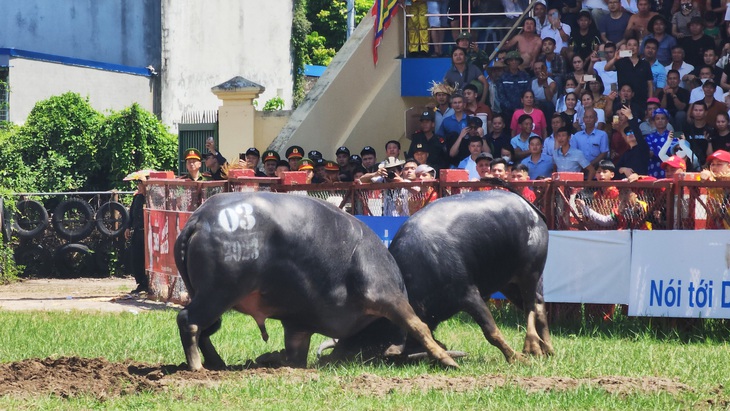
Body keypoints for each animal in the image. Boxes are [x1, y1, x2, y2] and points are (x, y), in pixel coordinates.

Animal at [173, 192, 456, 372]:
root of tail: (199, 218)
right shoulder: (384, 295)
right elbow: (417, 324)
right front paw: (447, 359)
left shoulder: (297, 325)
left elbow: (295, 355)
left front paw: (273, 358)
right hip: (219, 292)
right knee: (188, 320)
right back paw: (197, 366)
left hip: (208, 295)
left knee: (205, 329)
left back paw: (216, 363)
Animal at [390, 190, 556, 364]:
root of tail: (533, 211)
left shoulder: (469, 294)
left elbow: (491, 332)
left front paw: (515, 358)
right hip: (509, 284)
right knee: (538, 302)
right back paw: (548, 349)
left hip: (529, 273)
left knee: (530, 306)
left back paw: (532, 346)